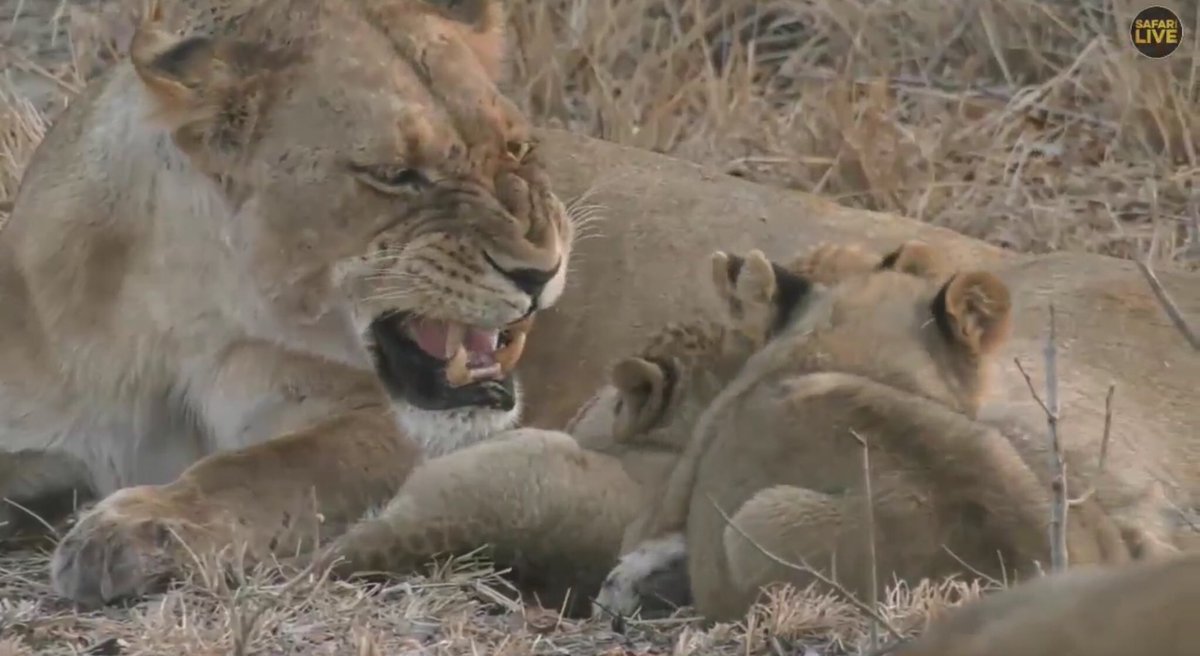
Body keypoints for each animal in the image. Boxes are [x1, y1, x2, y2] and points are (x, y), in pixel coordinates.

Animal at [0, 0, 574, 607]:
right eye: (396, 175)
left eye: (519, 148)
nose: (541, 270)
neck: (169, 326)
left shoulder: (384, 423)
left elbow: (268, 467)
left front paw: (137, 527)